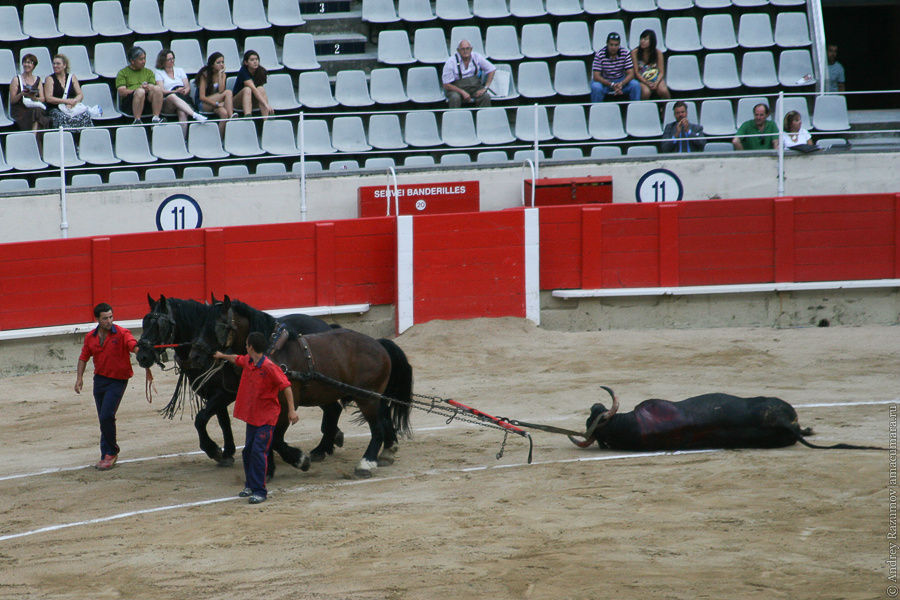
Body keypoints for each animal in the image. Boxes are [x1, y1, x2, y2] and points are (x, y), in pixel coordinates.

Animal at [135, 292, 340, 476]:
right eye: (144, 323)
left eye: (158, 325)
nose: (141, 356)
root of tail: (326, 325)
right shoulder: (213, 394)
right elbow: (222, 421)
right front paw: (227, 453)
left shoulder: (224, 393)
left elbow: (201, 419)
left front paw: (214, 450)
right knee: (333, 409)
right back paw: (328, 443)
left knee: (333, 409)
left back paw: (323, 447)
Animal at [192, 296, 416, 478]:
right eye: (201, 323)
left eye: (218, 325)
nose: (195, 355)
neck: (271, 352)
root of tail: (379, 344)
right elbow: (267, 436)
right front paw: (268, 470)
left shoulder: (285, 405)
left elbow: (275, 438)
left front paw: (300, 460)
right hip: (369, 397)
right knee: (380, 418)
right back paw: (385, 452)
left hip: (367, 398)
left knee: (376, 427)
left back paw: (366, 463)